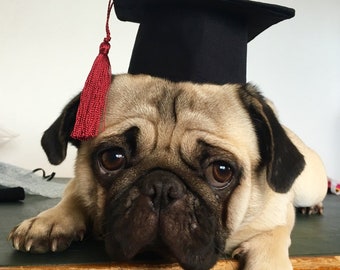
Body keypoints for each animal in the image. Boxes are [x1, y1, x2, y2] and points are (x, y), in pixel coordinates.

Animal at [8, 74, 326, 270]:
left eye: (221, 171)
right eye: (112, 158)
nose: (162, 186)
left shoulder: (277, 213)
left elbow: (273, 235)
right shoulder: (79, 184)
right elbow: (72, 195)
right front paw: (49, 221)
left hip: (310, 184)